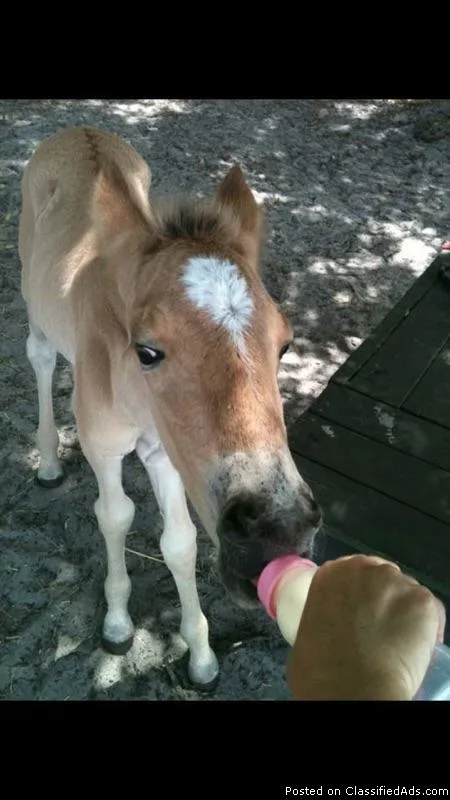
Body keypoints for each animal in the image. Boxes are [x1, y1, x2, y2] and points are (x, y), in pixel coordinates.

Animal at [18, 125, 322, 690]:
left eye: (286, 345)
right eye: (148, 351)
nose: (278, 529)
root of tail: (76, 131)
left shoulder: (166, 452)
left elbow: (179, 542)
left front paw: (200, 656)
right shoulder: (103, 447)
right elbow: (115, 515)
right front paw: (117, 625)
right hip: (34, 302)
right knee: (41, 358)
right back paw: (47, 462)